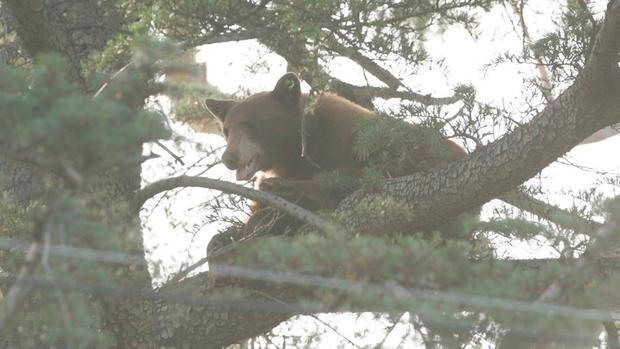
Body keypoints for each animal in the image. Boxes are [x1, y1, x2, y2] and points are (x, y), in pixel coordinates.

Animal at [203, 72, 470, 260]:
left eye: (252, 125)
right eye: (226, 130)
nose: (229, 158)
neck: (295, 149)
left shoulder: (343, 141)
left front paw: (272, 206)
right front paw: (222, 238)